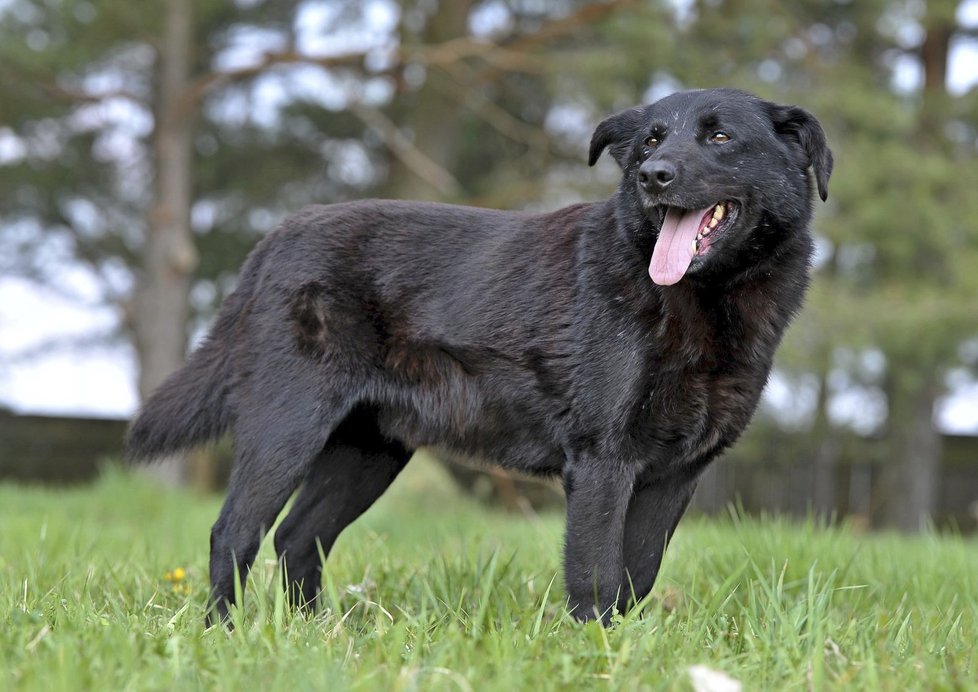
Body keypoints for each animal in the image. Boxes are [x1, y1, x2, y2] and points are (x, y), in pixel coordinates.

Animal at [127, 88, 832, 628]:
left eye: (720, 137)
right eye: (650, 142)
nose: (651, 177)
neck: (702, 301)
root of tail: (276, 238)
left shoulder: (674, 474)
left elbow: (638, 577)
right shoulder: (602, 461)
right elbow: (597, 577)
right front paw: (594, 654)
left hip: (368, 452)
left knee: (299, 538)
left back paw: (314, 637)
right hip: (287, 426)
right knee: (235, 533)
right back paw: (227, 635)